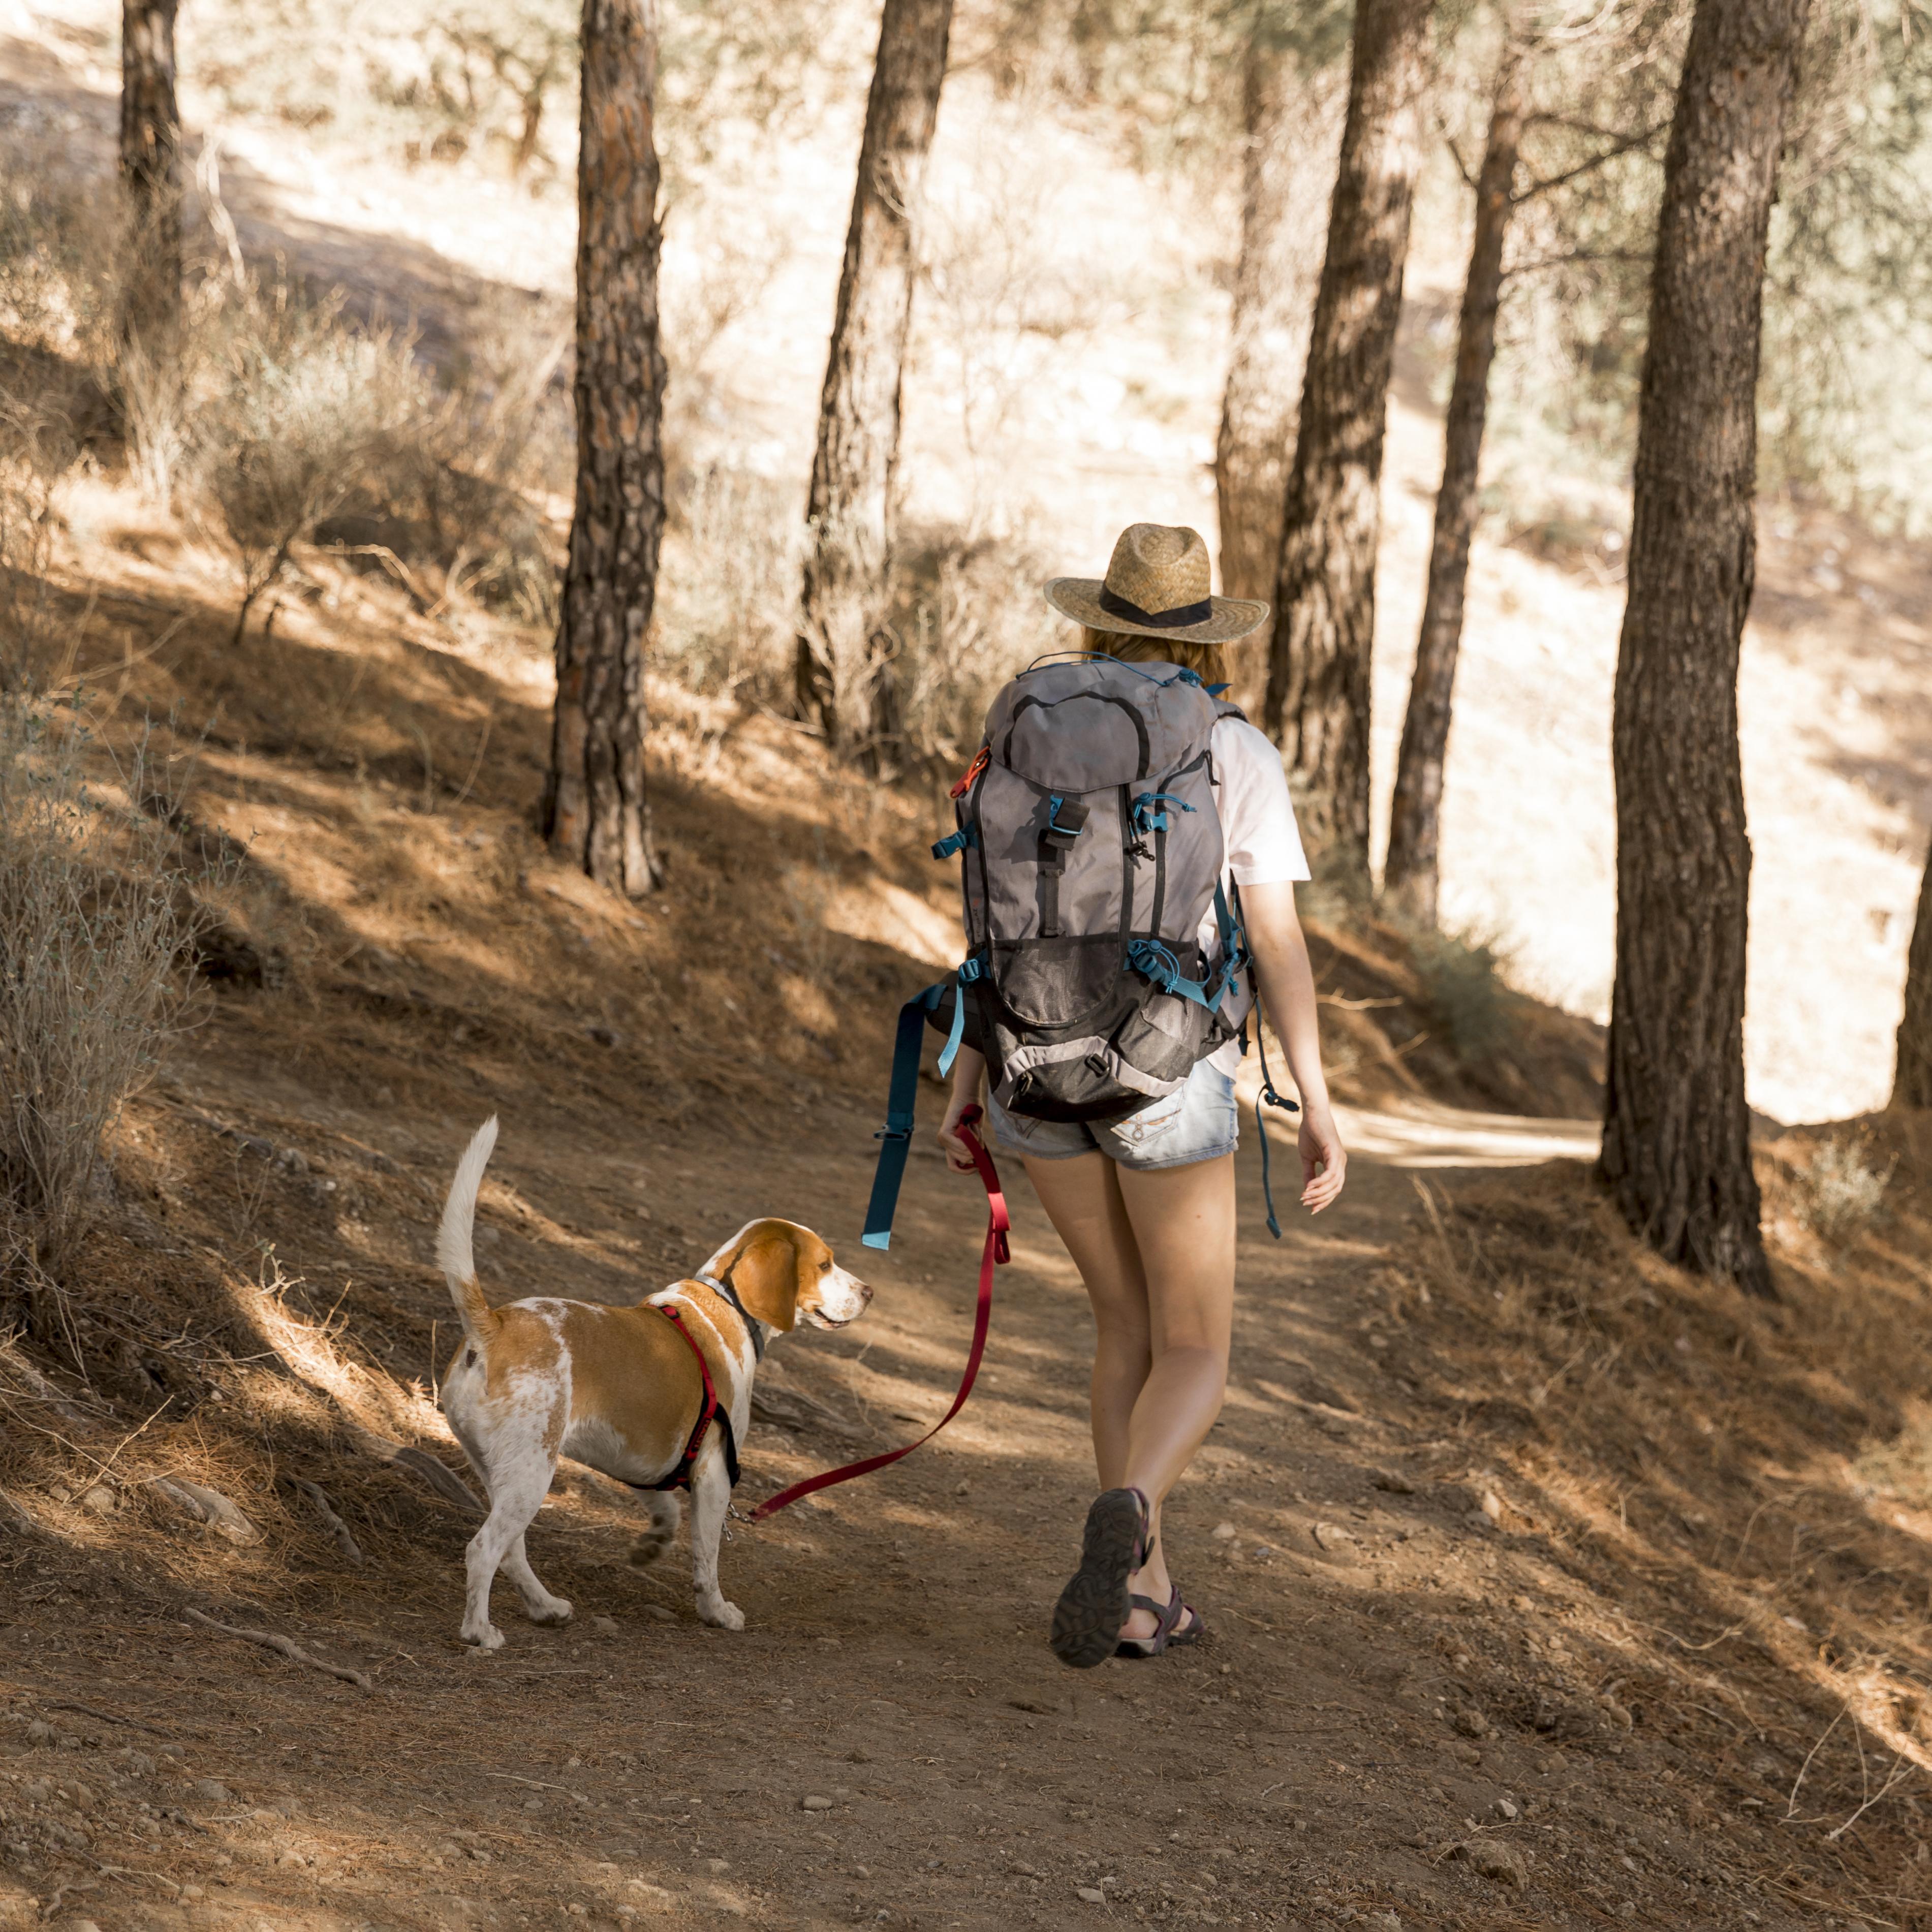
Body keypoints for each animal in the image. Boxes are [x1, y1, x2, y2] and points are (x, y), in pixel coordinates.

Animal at [434, 1120, 873, 1646]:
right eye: (825, 1264)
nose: (870, 1292)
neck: (725, 1302)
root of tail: (495, 1324)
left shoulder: (643, 1459)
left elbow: (668, 1512)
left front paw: (653, 1546)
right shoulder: (714, 1473)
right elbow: (707, 1557)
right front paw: (716, 1611)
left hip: (503, 1474)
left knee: (512, 1551)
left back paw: (545, 1607)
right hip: (530, 1474)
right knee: (483, 1550)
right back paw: (480, 1632)